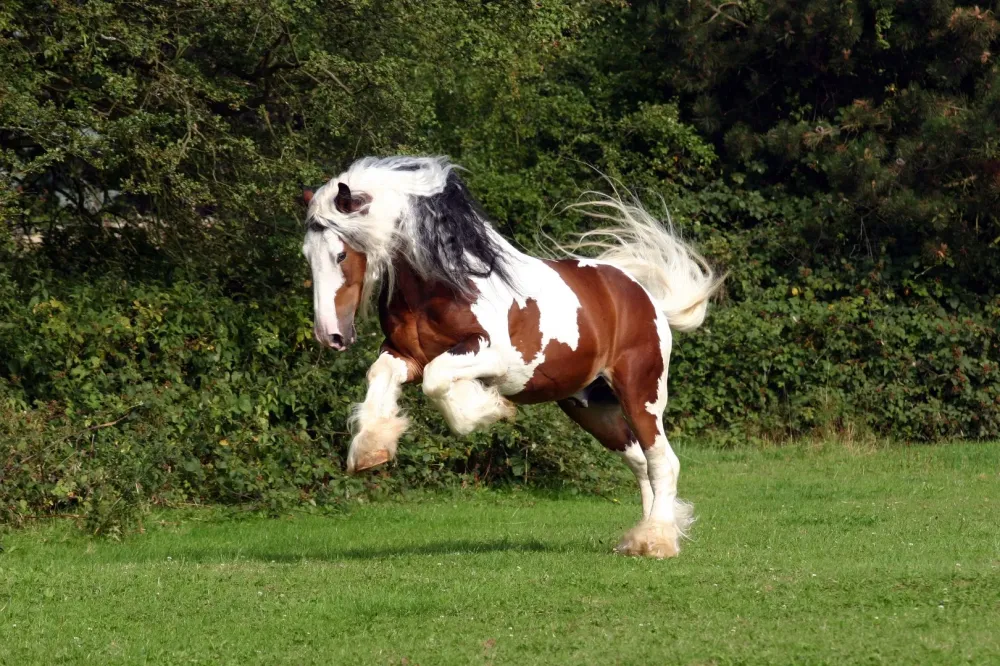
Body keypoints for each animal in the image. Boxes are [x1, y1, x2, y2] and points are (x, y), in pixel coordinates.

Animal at [301, 156, 723, 558]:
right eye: (307, 255)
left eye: (340, 255)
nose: (331, 335)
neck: (445, 284)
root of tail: (645, 298)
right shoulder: (405, 356)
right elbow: (381, 373)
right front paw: (371, 449)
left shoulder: (492, 356)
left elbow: (438, 378)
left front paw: (485, 411)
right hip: (592, 407)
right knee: (641, 463)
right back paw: (643, 536)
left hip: (641, 394)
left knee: (663, 462)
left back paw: (657, 543)